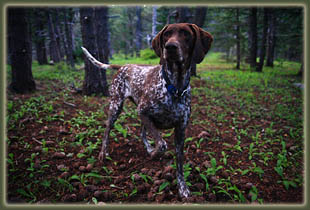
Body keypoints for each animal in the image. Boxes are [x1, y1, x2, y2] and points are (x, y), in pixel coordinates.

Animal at [81, 23, 213, 198]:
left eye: (186, 33)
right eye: (167, 34)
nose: (170, 47)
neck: (174, 87)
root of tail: (123, 66)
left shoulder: (180, 130)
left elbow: (179, 163)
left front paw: (182, 187)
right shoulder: (143, 111)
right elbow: (162, 144)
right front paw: (155, 153)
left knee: (141, 132)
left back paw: (148, 148)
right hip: (116, 106)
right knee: (107, 129)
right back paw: (104, 152)